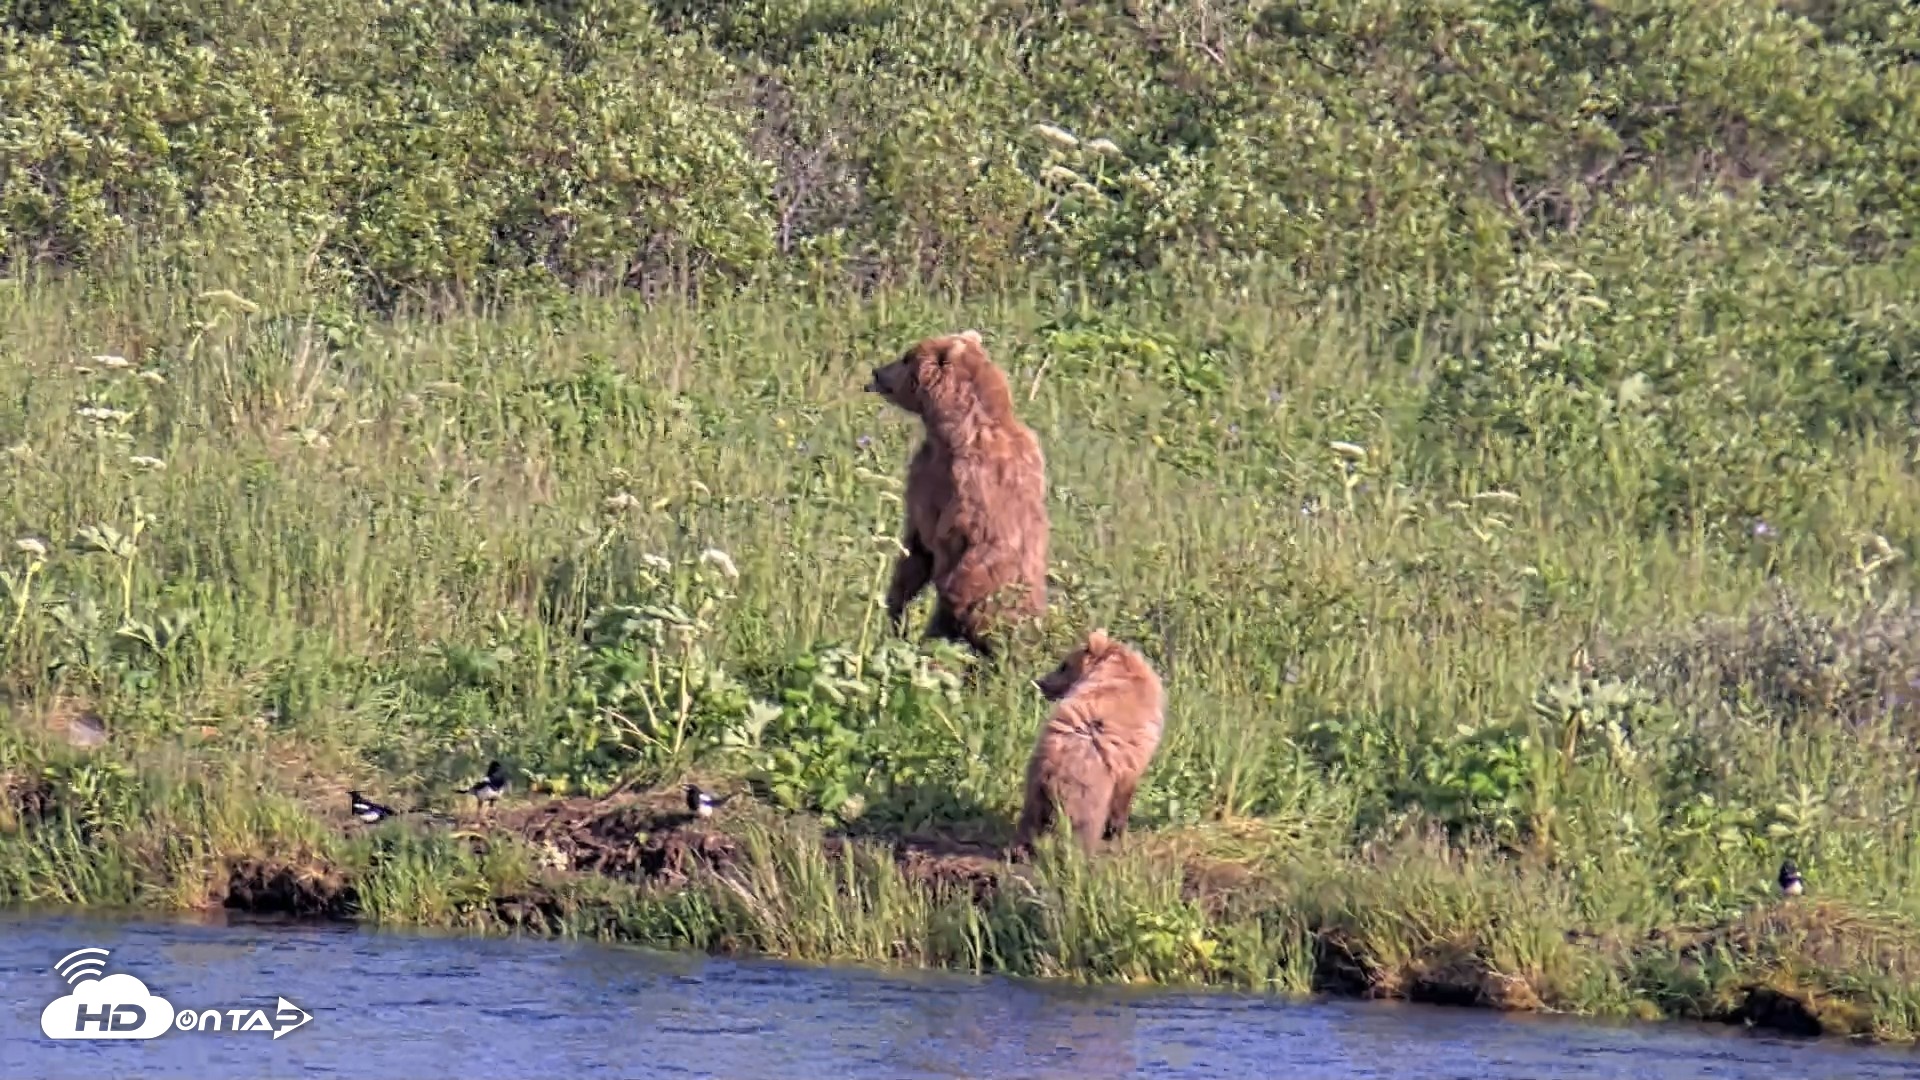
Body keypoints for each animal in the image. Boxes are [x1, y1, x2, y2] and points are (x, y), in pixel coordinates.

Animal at [1012, 628, 1167, 858]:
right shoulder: (1132, 758)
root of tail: (1054, 767)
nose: (1041, 682)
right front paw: (1116, 830)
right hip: (1087, 793)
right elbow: (1124, 793)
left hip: (1034, 784)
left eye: (1063, 665)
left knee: (1030, 819)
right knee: (1083, 827)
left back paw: (1019, 850)